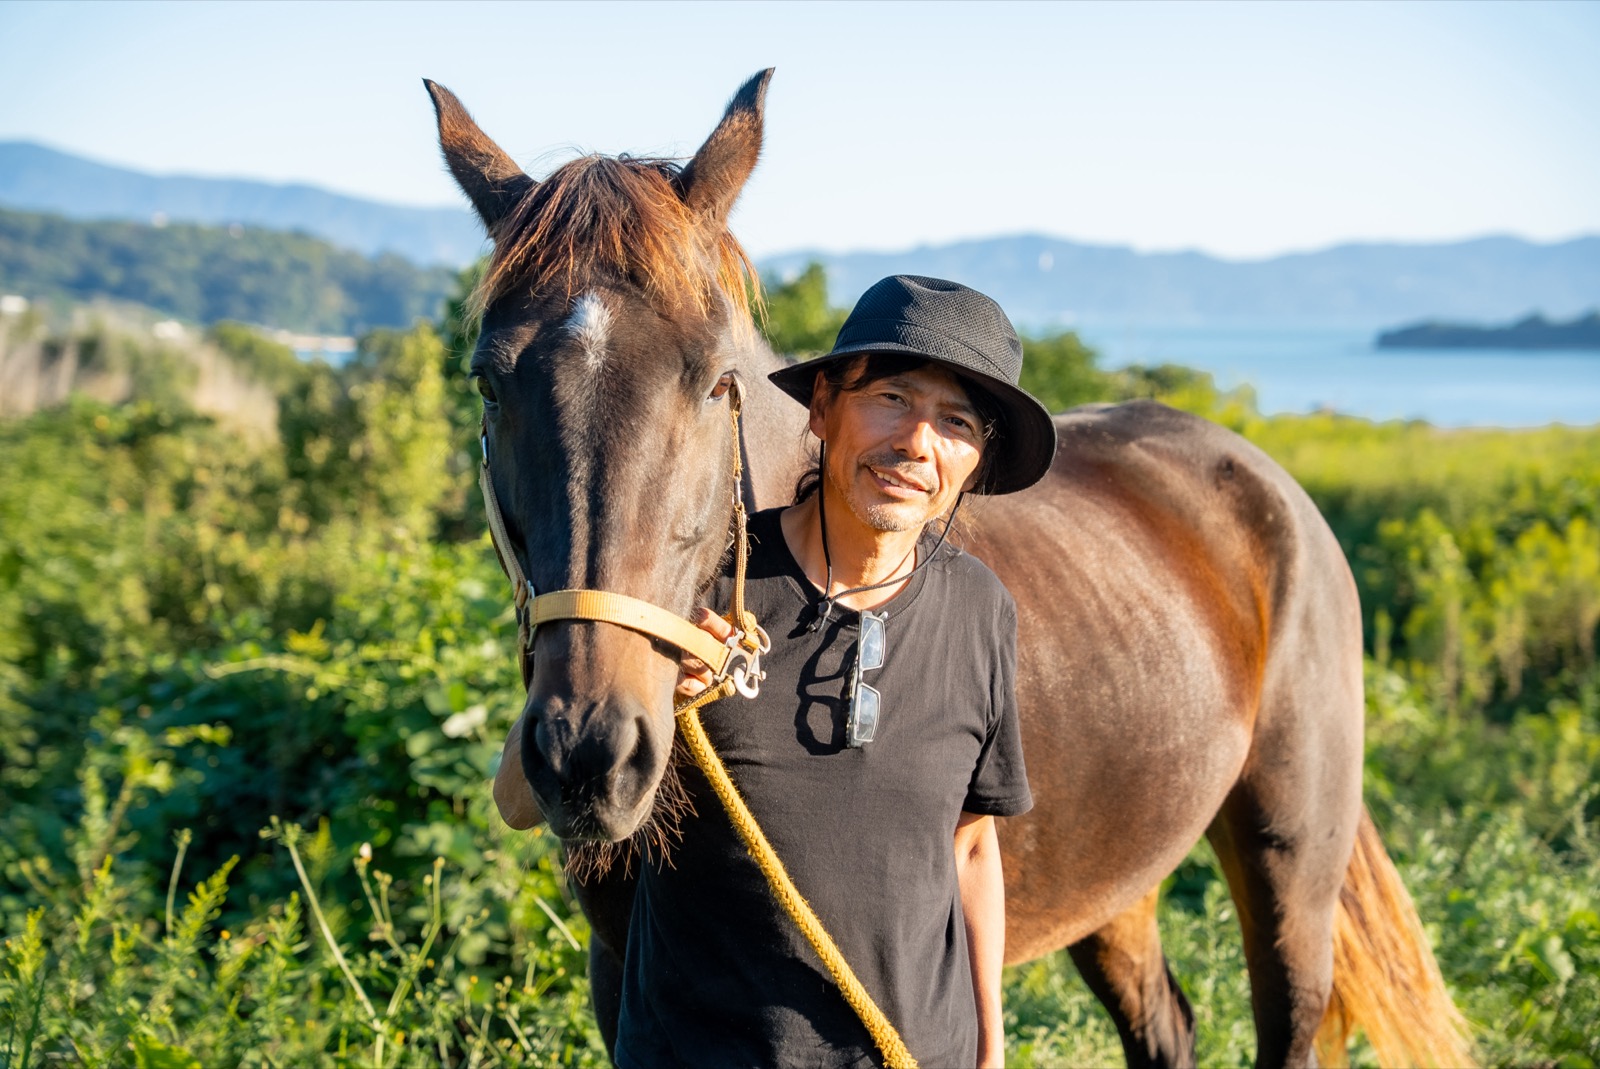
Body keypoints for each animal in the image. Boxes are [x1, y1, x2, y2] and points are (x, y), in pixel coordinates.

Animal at [425, 70, 1473, 1068]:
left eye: (716, 379)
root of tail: (1271, 485)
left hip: (1290, 859)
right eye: (488, 380)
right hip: (1114, 878)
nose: (586, 754)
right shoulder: (623, 983)